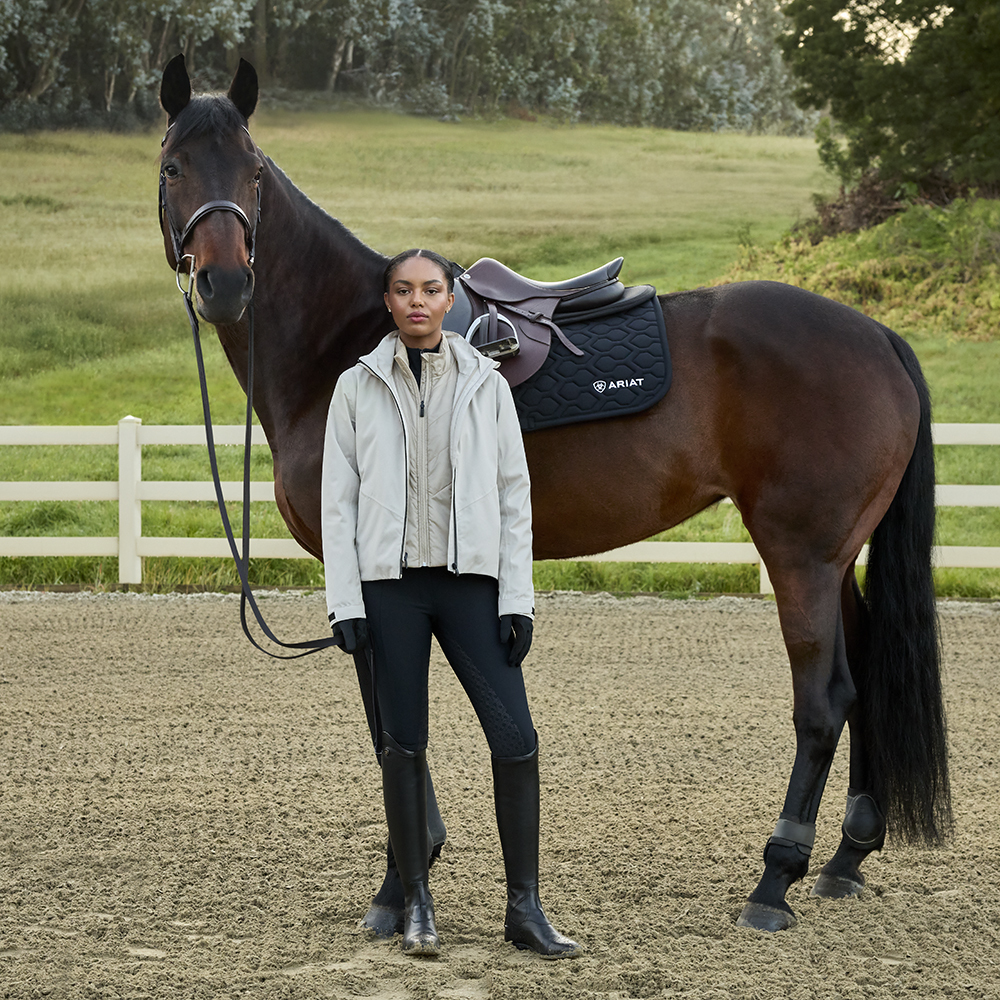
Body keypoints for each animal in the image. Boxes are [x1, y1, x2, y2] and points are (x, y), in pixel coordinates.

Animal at [156, 54, 951, 934]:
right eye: (174, 167)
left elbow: (387, 723)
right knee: (868, 672)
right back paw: (846, 857)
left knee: (824, 699)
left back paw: (775, 878)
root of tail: (874, 334)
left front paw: (401, 880)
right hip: (834, 556)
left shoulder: (363, 571)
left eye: (254, 173)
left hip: (800, 555)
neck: (350, 340)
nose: (225, 283)